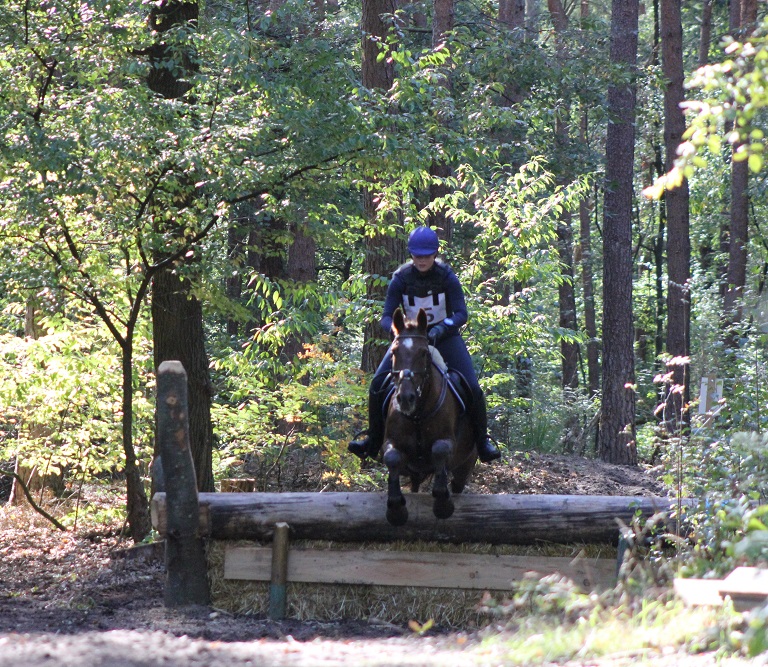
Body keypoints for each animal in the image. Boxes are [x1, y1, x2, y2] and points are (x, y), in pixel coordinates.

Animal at [382, 308, 476, 528]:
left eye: (423, 353)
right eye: (394, 352)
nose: (405, 398)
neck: (417, 416)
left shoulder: (449, 440)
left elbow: (439, 450)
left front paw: (443, 505)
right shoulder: (391, 442)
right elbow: (391, 458)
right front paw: (396, 509)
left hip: (467, 463)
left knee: (458, 484)